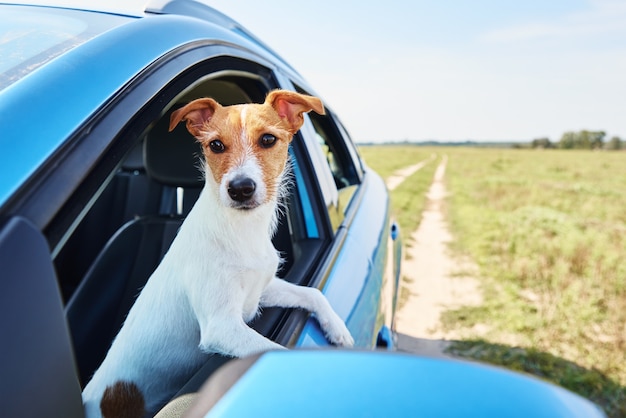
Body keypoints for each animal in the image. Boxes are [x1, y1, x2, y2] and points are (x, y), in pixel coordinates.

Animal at [82, 90, 354, 416]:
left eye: (267, 139)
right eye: (215, 145)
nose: (240, 188)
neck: (241, 229)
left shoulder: (261, 290)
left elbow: (312, 294)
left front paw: (338, 329)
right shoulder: (222, 327)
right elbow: (276, 352)